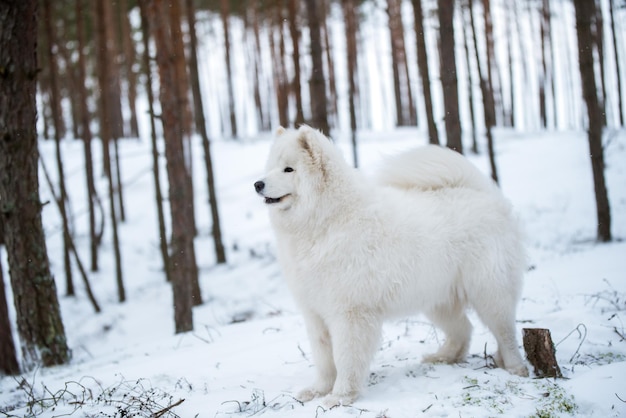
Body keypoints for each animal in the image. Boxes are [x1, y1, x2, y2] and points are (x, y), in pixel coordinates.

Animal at [254, 125, 528, 406]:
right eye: (271, 167)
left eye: (289, 169)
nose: (258, 184)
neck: (326, 221)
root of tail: (484, 194)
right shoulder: (315, 313)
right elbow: (323, 359)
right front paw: (318, 390)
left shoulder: (350, 313)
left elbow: (345, 358)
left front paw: (340, 396)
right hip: (436, 298)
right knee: (463, 329)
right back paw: (444, 357)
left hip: (488, 292)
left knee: (505, 332)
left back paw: (516, 368)